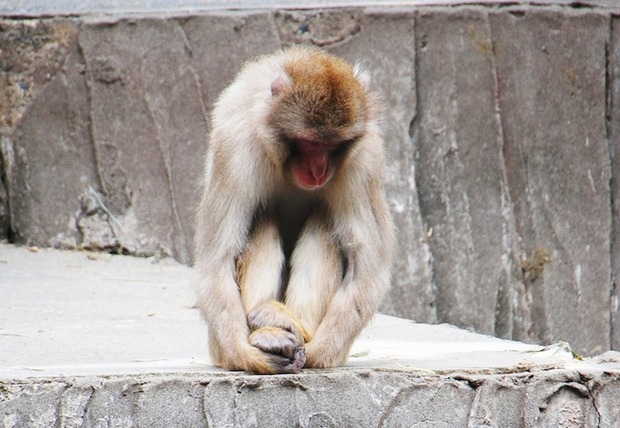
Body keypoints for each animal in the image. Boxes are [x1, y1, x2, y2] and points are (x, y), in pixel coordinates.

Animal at [194, 45, 395, 374]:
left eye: (333, 145)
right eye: (309, 143)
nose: (319, 170)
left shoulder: (364, 161)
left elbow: (366, 271)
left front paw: (315, 351)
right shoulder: (235, 147)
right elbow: (216, 262)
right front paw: (248, 356)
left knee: (325, 221)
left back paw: (297, 330)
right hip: (216, 347)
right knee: (263, 216)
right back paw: (270, 334)